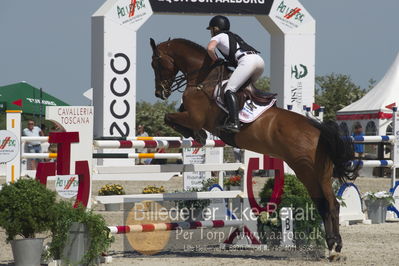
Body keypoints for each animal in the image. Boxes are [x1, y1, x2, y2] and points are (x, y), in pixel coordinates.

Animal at [150, 37, 356, 260]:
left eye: (156, 63)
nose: (160, 93)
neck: (203, 79)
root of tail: (318, 130)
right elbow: (172, 116)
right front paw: (197, 135)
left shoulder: (195, 117)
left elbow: (169, 117)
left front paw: (198, 135)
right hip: (322, 172)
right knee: (330, 204)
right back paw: (334, 246)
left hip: (306, 171)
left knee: (327, 204)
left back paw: (333, 246)